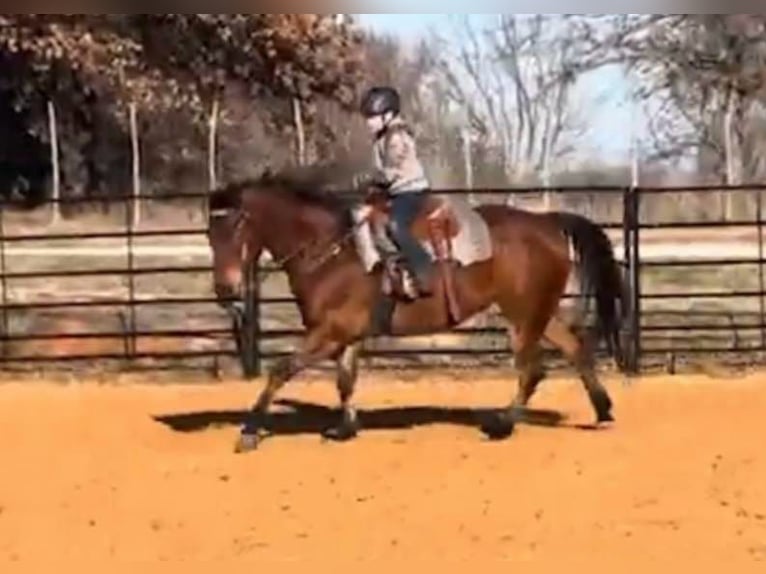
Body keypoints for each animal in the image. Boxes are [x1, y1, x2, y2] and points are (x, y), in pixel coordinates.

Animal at [206, 166, 632, 454]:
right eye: (210, 234)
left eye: (236, 226)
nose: (225, 290)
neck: (332, 252)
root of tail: (547, 222)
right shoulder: (348, 335)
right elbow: (345, 380)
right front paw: (344, 429)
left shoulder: (329, 332)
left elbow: (281, 370)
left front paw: (249, 431)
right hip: (538, 310)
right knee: (574, 349)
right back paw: (604, 412)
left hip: (522, 314)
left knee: (533, 370)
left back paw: (502, 425)